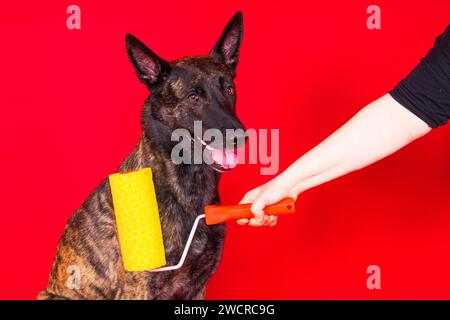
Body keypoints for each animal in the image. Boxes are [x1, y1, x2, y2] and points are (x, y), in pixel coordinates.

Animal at [38, 10, 246, 300]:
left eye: (229, 89)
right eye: (194, 97)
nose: (241, 136)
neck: (187, 189)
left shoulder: (197, 286)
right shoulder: (140, 287)